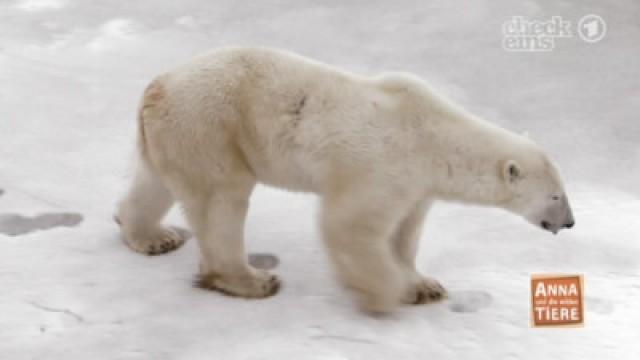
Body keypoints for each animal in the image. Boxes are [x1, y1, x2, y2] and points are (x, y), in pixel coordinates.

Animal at [115, 47, 576, 312]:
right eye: (555, 195)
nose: (570, 222)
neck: (434, 134)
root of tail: (155, 87)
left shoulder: (416, 185)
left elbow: (404, 234)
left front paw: (423, 285)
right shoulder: (383, 167)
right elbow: (350, 226)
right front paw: (386, 293)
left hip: (176, 134)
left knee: (155, 184)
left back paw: (153, 236)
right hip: (212, 127)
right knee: (221, 200)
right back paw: (252, 280)